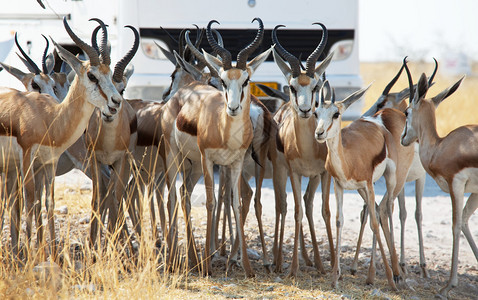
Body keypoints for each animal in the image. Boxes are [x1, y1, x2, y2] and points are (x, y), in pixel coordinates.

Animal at [0, 17, 122, 258]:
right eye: (92, 75)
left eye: (110, 73)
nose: (116, 101)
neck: (49, 118)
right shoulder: (28, 161)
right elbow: (31, 202)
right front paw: (30, 256)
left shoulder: (48, 163)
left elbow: (47, 203)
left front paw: (49, 254)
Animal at [270, 23, 334, 276]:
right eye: (292, 86)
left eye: (316, 85)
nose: (306, 110)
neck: (307, 149)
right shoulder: (294, 173)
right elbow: (295, 212)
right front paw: (292, 269)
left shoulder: (323, 174)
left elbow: (324, 211)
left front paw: (329, 266)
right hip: (279, 171)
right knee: (282, 206)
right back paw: (278, 261)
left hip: (313, 177)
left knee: (307, 204)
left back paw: (313, 260)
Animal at [400, 60, 474, 298]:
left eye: (407, 111)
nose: (403, 138)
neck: (441, 146)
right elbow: (464, 221)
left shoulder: (456, 184)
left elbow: (456, 225)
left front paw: (448, 285)